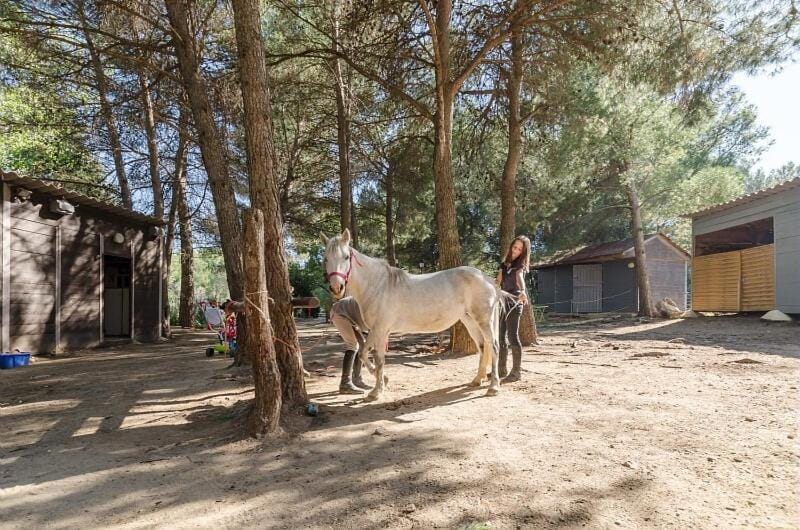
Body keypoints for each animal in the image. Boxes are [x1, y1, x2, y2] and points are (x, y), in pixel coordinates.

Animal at [321, 229, 505, 401]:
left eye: (346, 257)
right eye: (326, 259)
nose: (336, 288)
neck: (378, 285)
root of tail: (487, 279)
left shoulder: (380, 330)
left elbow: (378, 358)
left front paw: (376, 392)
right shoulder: (377, 331)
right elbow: (364, 353)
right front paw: (383, 380)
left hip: (484, 321)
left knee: (494, 347)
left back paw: (493, 387)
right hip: (470, 321)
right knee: (483, 347)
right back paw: (477, 380)